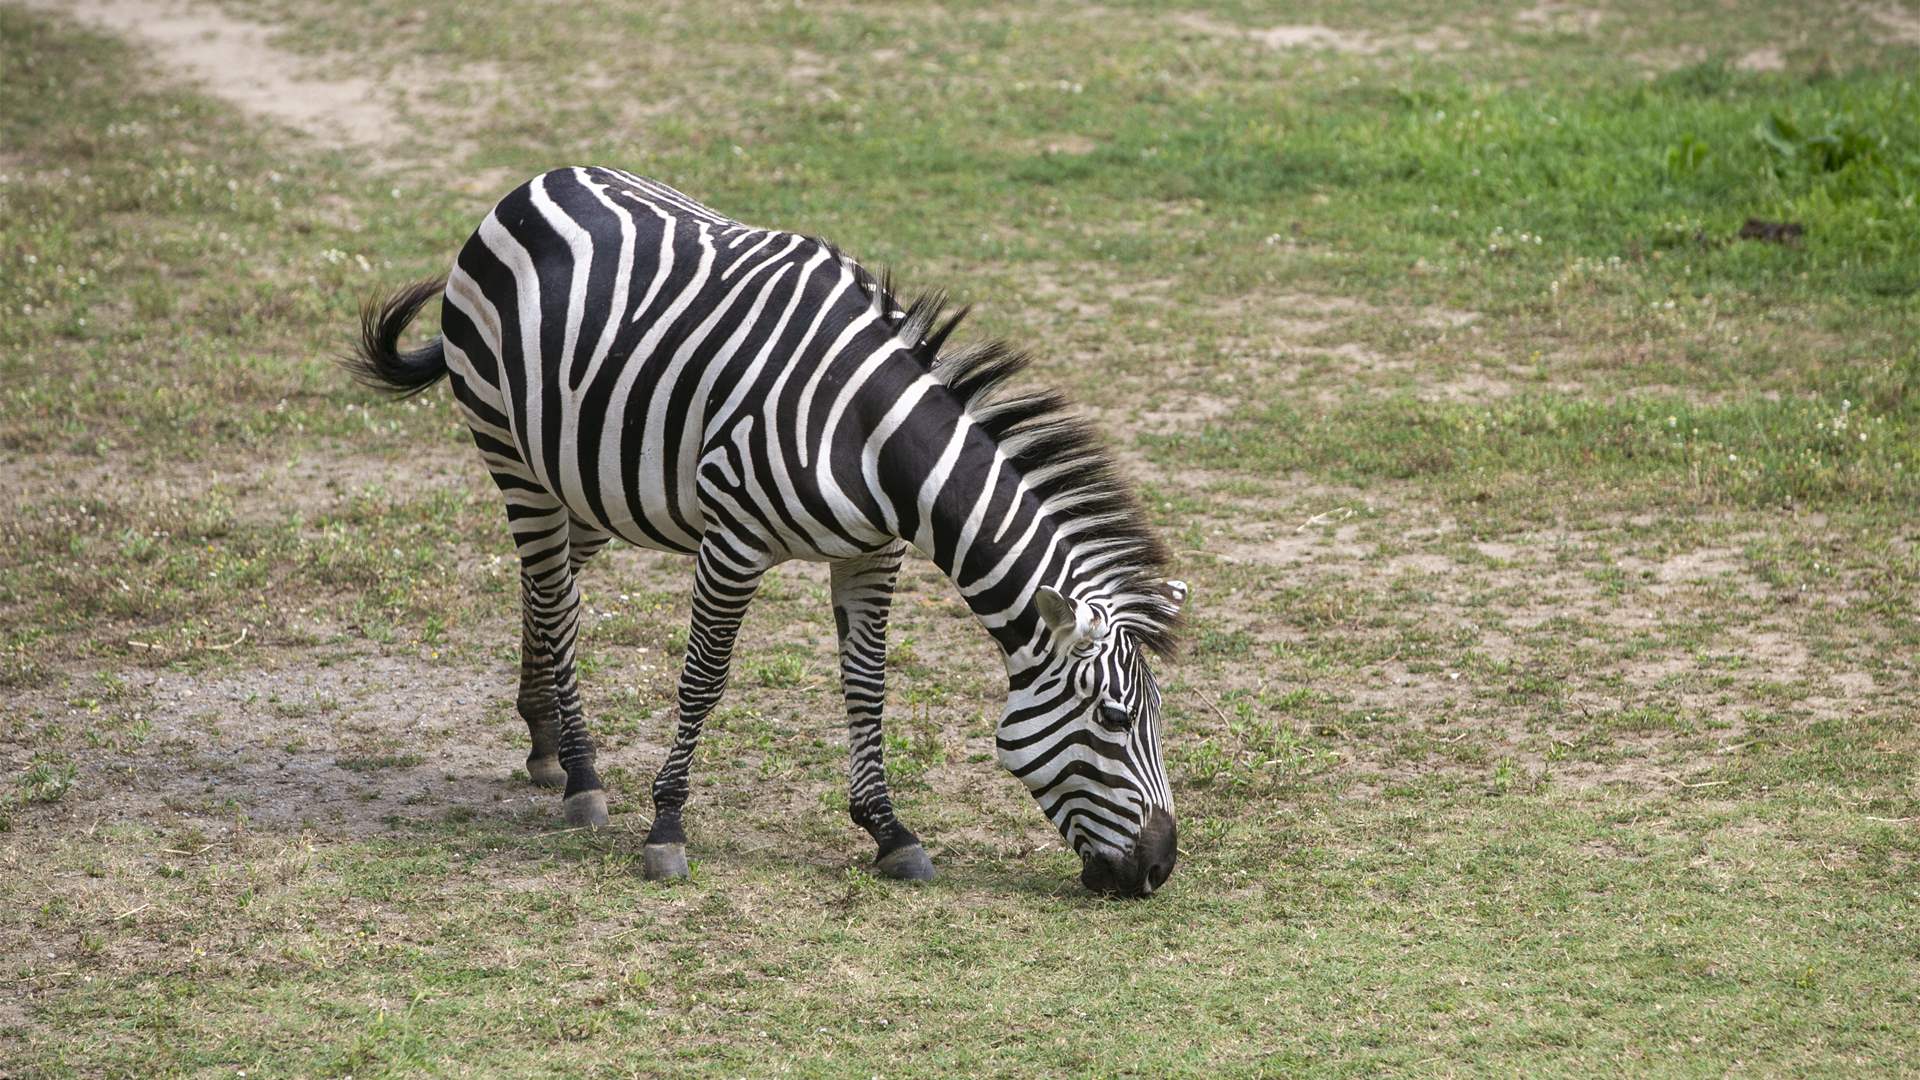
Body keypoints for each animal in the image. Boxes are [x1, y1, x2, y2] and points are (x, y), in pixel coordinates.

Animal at [345, 166, 1182, 891]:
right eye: (1115, 718)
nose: (1159, 869)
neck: (872, 434)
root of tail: (533, 182)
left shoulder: (874, 555)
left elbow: (867, 684)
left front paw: (889, 831)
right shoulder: (734, 543)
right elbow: (704, 679)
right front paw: (666, 827)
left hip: (583, 479)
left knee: (551, 586)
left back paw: (545, 741)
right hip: (509, 451)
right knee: (553, 595)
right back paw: (581, 773)